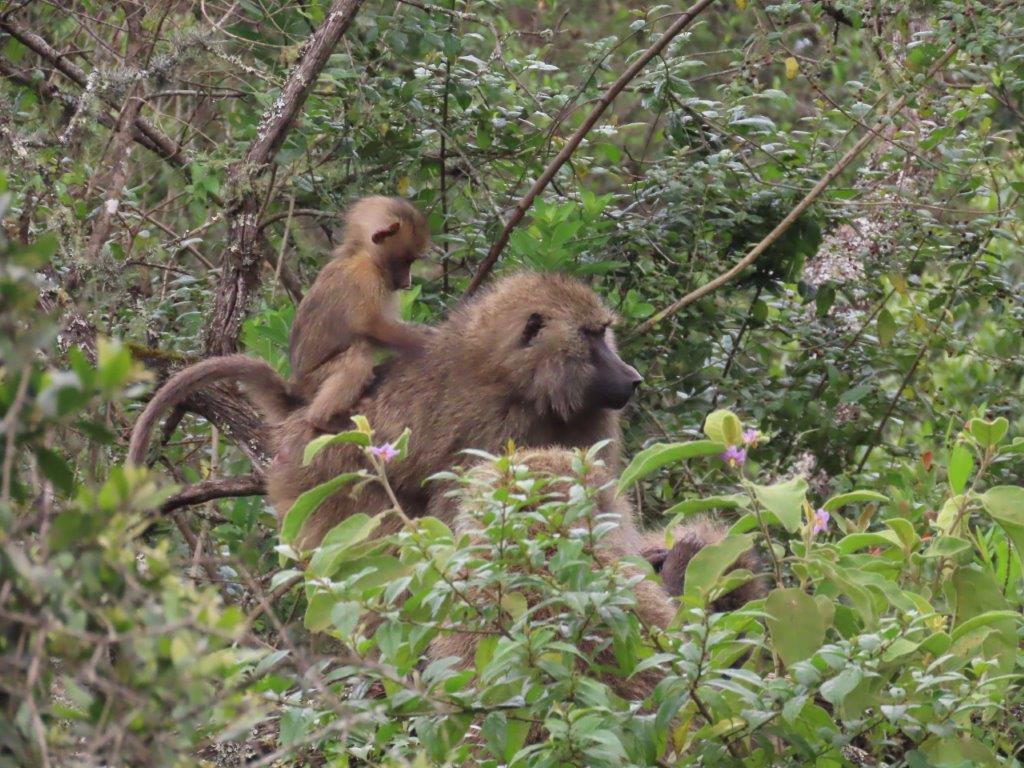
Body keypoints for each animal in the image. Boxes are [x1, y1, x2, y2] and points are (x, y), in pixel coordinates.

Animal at [289, 196, 431, 432]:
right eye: (407, 260)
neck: (362, 254)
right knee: (358, 355)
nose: (407, 282)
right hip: (313, 382)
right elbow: (372, 325)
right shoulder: (365, 275)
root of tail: (295, 385)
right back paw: (321, 418)